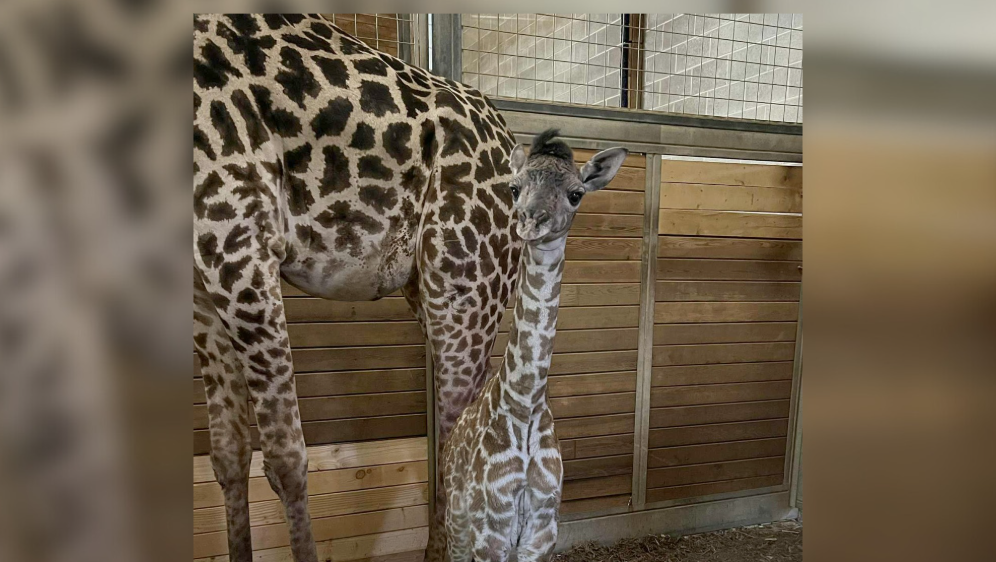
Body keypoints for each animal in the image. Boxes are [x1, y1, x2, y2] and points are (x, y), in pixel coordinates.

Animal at [193, 15, 521, 562]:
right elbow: (228, 453)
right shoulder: (200, 282)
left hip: (468, 279)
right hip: (429, 287)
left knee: (459, 433)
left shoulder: (238, 236)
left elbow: (284, 458)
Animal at [433, 130, 629, 562]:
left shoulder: (542, 530)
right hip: (457, 526)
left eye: (576, 194)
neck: (524, 405)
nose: (531, 220)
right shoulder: (490, 531)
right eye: (514, 187)